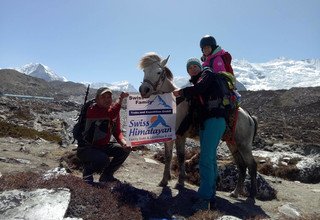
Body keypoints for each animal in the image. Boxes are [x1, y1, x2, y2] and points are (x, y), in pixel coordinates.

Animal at [138, 52, 258, 199]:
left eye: (158, 72)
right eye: (144, 71)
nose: (144, 90)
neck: (174, 104)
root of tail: (249, 117)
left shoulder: (180, 135)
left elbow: (181, 156)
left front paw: (180, 182)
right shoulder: (169, 136)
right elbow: (168, 156)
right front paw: (164, 180)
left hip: (244, 145)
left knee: (252, 165)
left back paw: (252, 194)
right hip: (232, 143)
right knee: (241, 166)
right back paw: (235, 193)